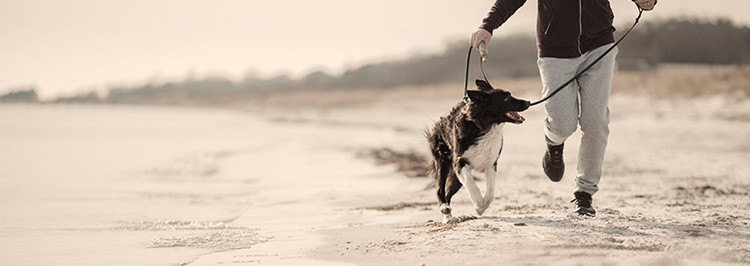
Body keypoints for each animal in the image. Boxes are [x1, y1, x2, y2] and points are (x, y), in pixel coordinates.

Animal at [426, 79, 532, 222]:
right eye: (507, 98)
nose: (529, 102)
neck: (487, 126)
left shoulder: (491, 163)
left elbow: (491, 191)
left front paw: (481, 207)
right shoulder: (459, 163)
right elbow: (472, 185)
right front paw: (478, 205)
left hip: (455, 178)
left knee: (448, 193)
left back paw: (448, 215)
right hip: (443, 162)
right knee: (440, 189)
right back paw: (445, 210)